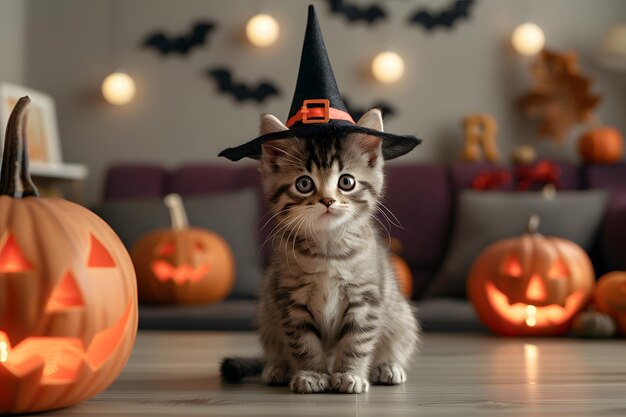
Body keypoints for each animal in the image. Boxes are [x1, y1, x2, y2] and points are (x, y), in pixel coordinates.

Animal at [221, 108, 420, 394]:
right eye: (304, 184)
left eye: (346, 182)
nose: (327, 200)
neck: (328, 249)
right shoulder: (291, 302)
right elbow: (304, 343)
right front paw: (312, 374)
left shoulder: (366, 298)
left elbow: (357, 341)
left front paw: (350, 374)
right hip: (267, 312)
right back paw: (278, 367)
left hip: (401, 316)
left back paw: (388, 366)